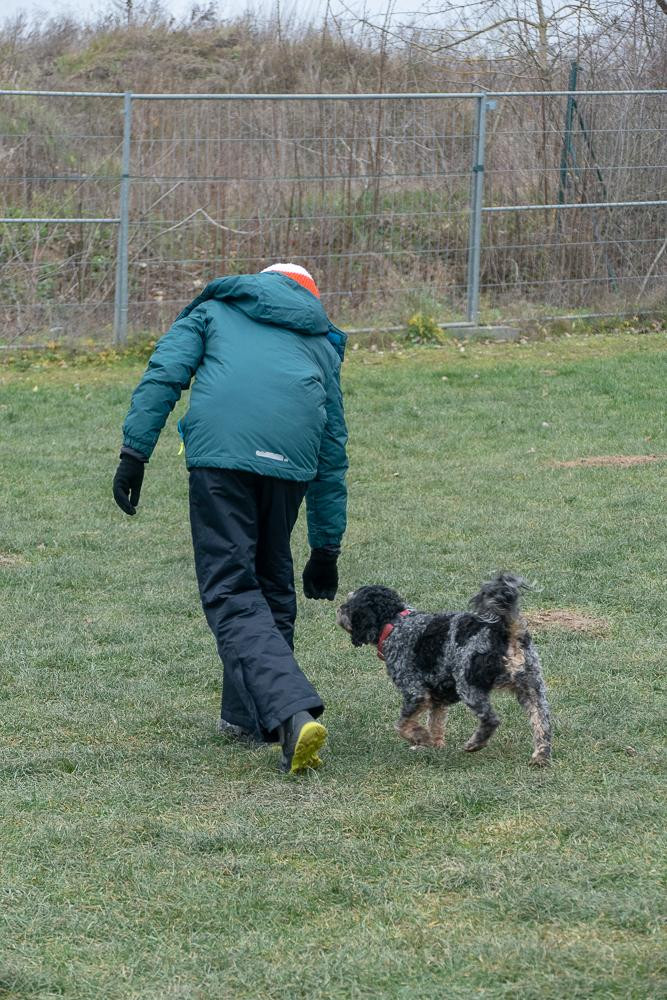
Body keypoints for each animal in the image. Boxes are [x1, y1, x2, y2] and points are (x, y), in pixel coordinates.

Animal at [336, 573, 551, 766]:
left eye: (349, 604)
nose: (338, 609)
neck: (396, 624)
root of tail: (503, 631)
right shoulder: (438, 696)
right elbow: (436, 723)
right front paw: (433, 744)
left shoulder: (415, 692)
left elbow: (402, 724)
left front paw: (420, 737)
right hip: (532, 689)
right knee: (543, 724)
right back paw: (540, 757)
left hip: (468, 686)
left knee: (491, 719)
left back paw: (475, 744)